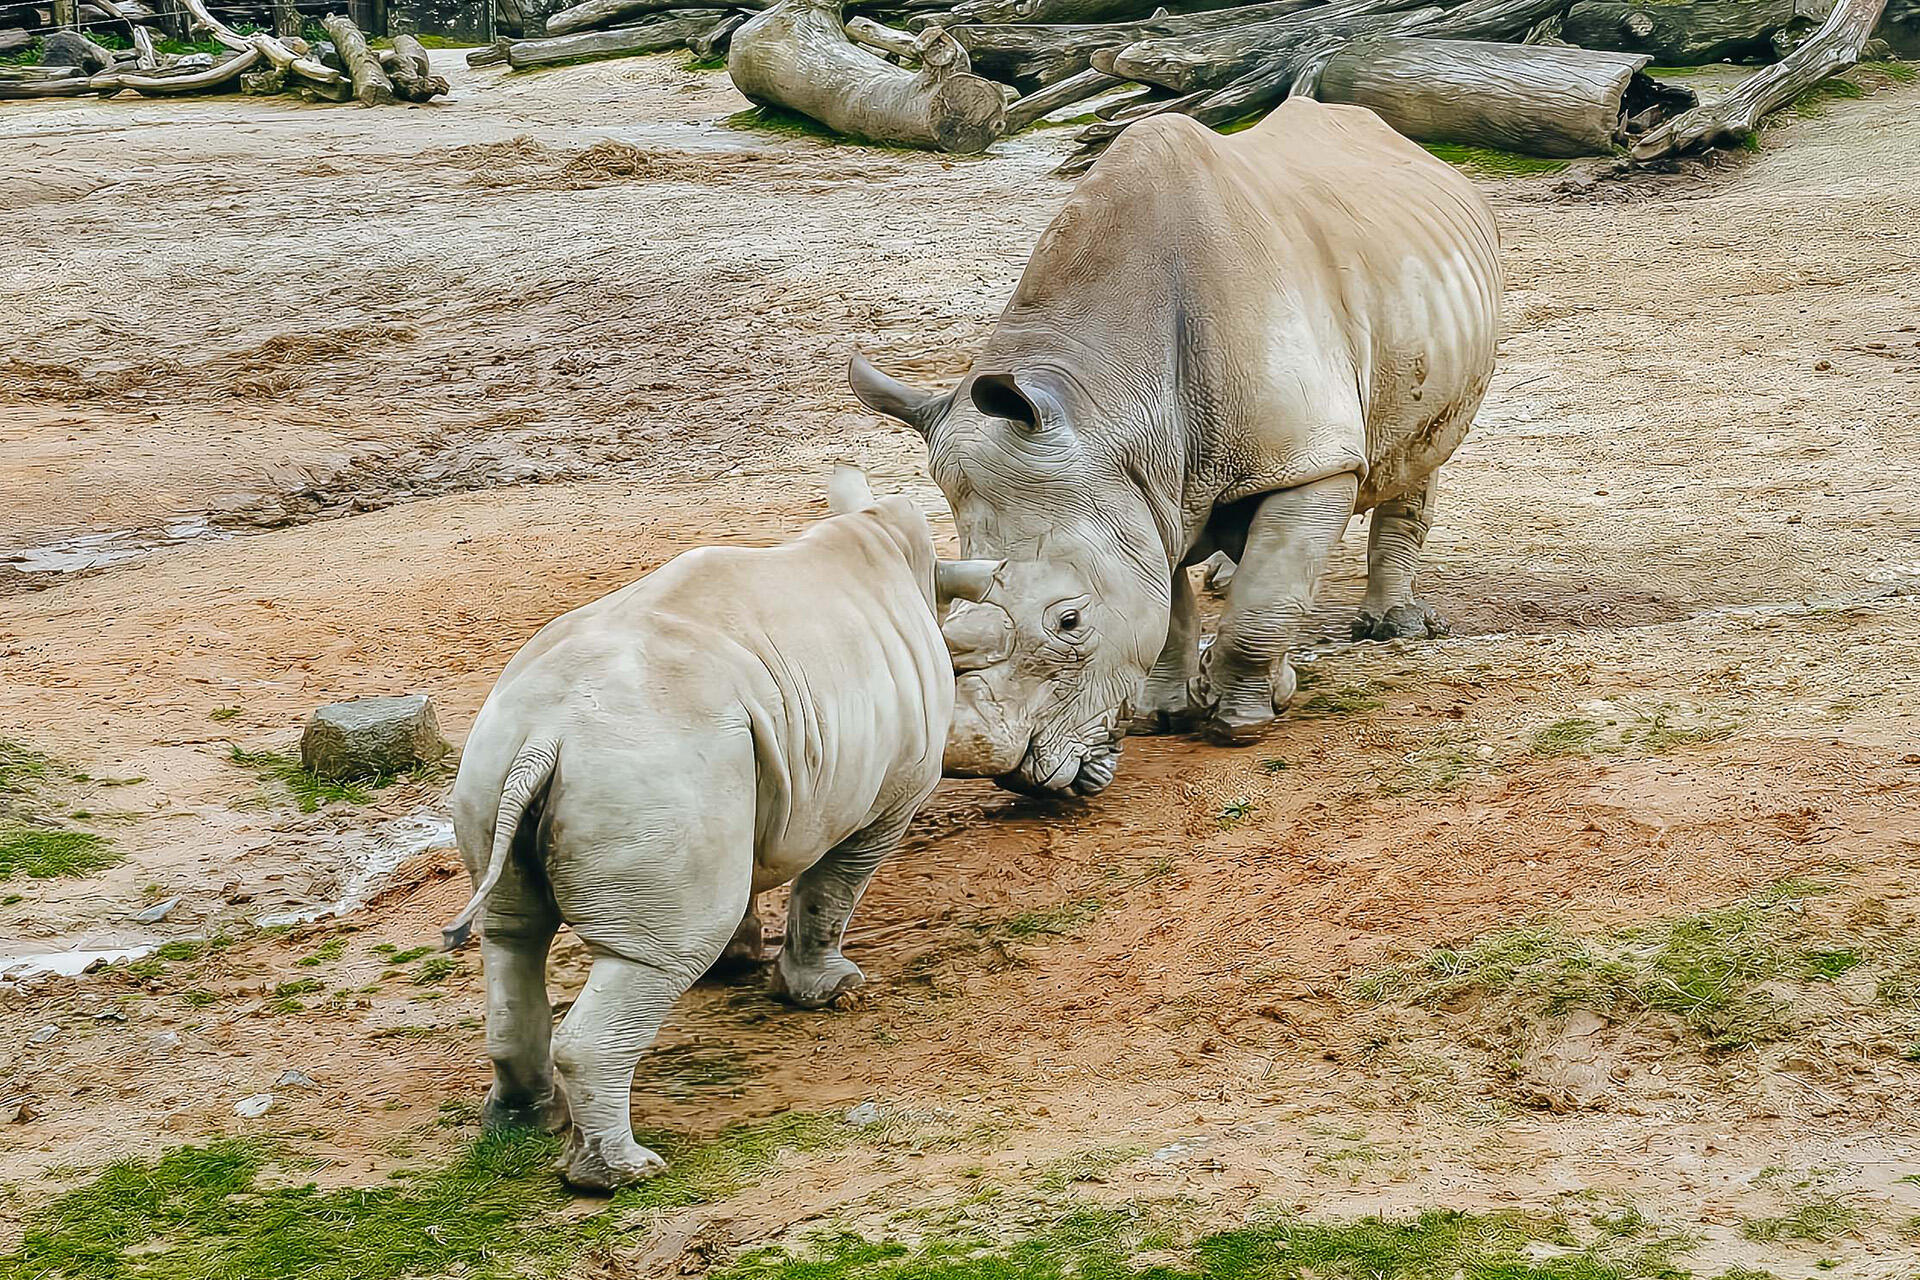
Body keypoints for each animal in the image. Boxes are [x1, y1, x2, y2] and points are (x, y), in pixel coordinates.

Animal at [442, 469, 995, 1190]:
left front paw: (736, 962)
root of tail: (547, 734)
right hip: (649, 763)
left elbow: (743, 882)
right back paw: (624, 1175)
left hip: (501, 754)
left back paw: (522, 1125)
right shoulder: (890, 796)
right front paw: (829, 991)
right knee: (655, 954)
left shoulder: (745, 782)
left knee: (512, 936)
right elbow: (830, 892)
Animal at [849, 98, 1503, 794]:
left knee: (1417, 454)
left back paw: (1390, 628)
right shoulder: (1135, 486)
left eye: (1069, 622)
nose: (1010, 776)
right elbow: (1171, 606)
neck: (1106, 403)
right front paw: (1166, 714)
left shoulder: (1310, 465)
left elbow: (1262, 606)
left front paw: (1240, 724)